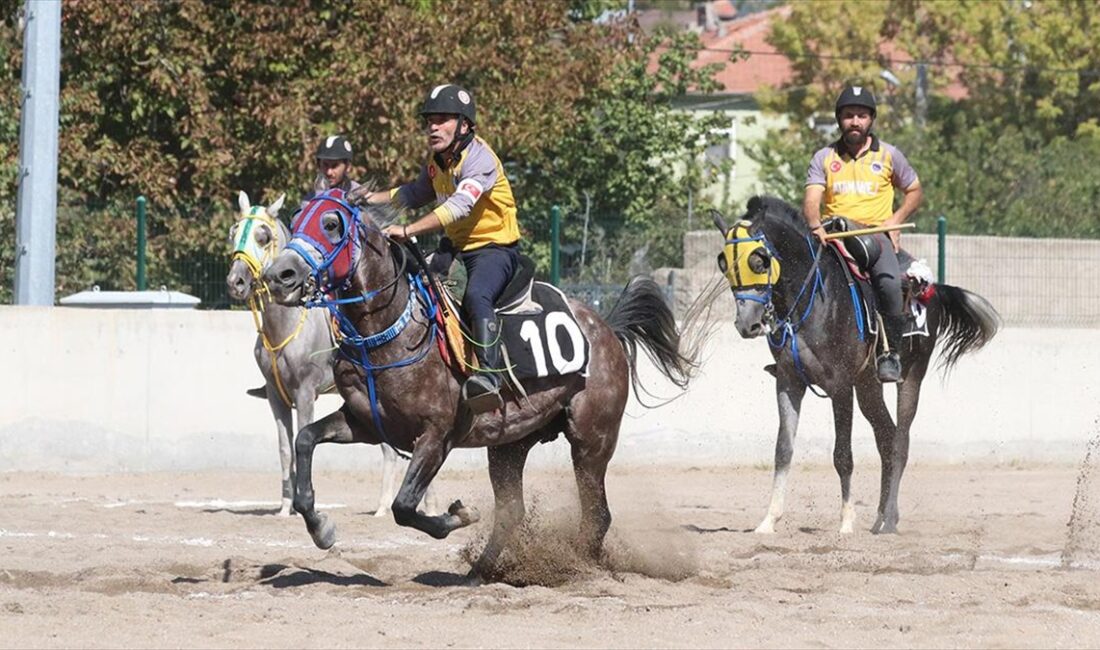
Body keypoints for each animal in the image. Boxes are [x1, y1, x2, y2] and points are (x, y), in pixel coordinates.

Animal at [225, 192, 435, 519]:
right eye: (233, 233)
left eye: (263, 236)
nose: (236, 281)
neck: (285, 326)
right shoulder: (275, 395)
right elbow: (285, 449)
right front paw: (285, 507)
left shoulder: (305, 393)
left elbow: (301, 437)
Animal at [257, 189, 695, 580]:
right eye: (296, 220)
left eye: (331, 224)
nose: (279, 276)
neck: (391, 332)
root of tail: (608, 329)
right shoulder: (365, 423)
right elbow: (305, 440)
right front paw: (321, 528)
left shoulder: (436, 436)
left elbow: (404, 506)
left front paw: (460, 514)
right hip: (510, 445)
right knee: (514, 512)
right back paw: (481, 571)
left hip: (592, 440)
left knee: (597, 514)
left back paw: (579, 567)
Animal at [708, 196, 1003, 534]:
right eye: (723, 262)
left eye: (759, 260)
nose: (748, 324)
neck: (813, 298)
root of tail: (932, 287)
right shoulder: (788, 382)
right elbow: (783, 450)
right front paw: (769, 520)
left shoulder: (840, 387)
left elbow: (842, 455)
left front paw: (847, 521)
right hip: (868, 387)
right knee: (886, 437)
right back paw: (881, 516)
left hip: (911, 377)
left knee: (900, 443)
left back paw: (889, 520)